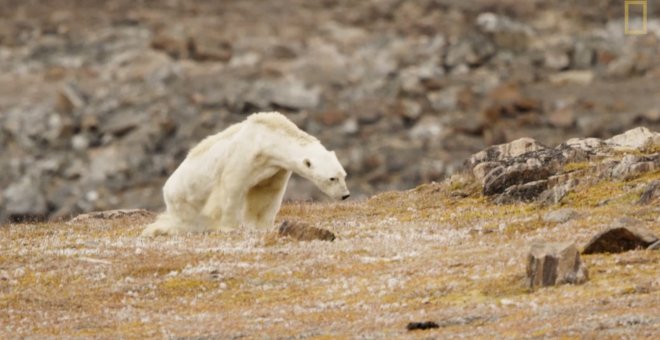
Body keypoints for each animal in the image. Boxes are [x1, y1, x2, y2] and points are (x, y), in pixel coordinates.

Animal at [142, 111, 350, 236]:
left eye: (344, 175)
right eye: (332, 178)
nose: (345, 195)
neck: (267, 139)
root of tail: (166, 188)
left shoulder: (276, 168)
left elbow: (267, 193)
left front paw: (263, 226)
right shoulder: (244, 156)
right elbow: (232, 189)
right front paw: (230, 227)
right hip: (185, 202)